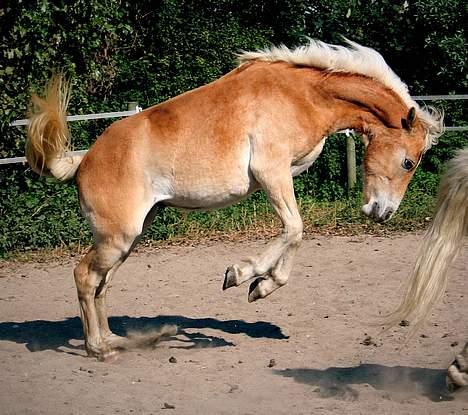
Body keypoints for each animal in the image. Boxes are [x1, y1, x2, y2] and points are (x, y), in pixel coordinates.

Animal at [25, 38, 442, 360]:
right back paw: (98, 348)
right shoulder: (272, 172)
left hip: (128, 238)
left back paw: (113, 340)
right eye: (408, 162)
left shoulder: (278, 177)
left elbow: (291, 235)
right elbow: (295, 229)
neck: (302, 95)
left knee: (102, 285)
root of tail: (83, 161)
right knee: (84, 277)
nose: (383, 213)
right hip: (117, 239)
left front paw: (257, 283)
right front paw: (246, 277)